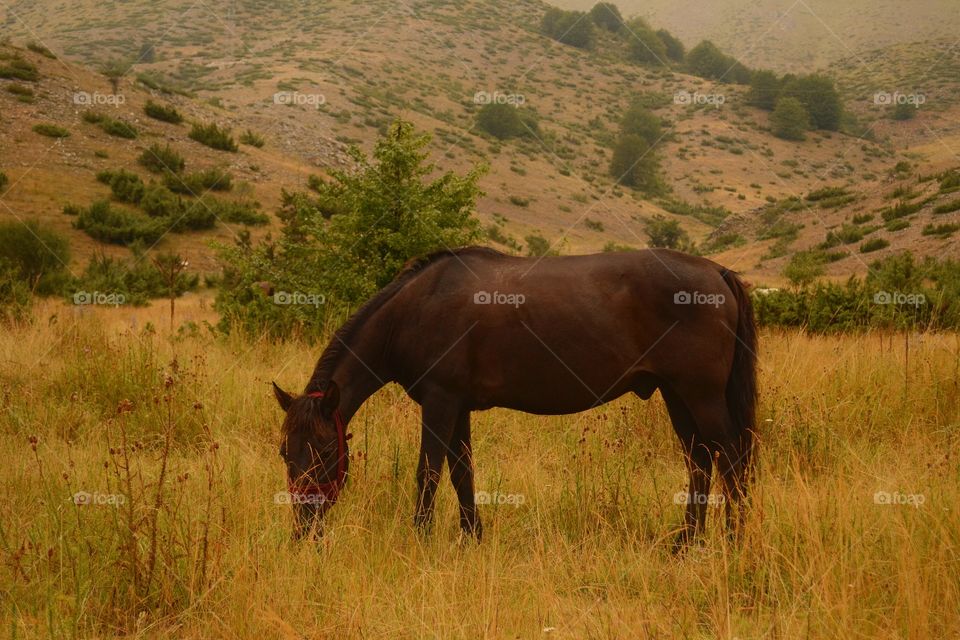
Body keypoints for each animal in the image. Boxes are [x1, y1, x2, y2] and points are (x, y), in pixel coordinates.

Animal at [272, 246, 757, 545]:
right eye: (284, 452)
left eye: (324, 450)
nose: (304, 530)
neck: (416, 308)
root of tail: (717, 273)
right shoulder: (457, 405)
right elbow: (462, 472)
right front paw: (472, 537)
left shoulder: (440, 401)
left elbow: (428, 472)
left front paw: (420, 538)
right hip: (677, 396)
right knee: (700, 462)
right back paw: (686, 544)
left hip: (701, 396)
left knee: (731, 460)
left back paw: (734, 541)